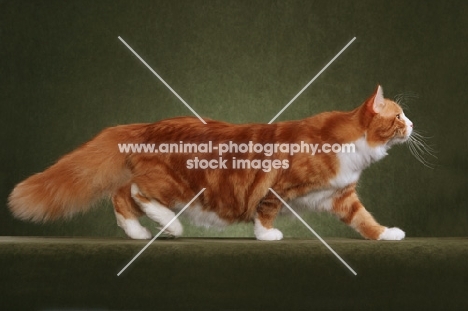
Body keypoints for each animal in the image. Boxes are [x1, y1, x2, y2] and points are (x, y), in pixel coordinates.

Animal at [8, 86, 414, 243]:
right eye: (398, 115)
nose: (412, 124)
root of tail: (146, 124)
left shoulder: (341, 196)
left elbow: (365, 220)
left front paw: (386, 235)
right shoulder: (278, 188)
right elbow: (265, 211)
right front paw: (266, 235)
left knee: (122, 194)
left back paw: (138, 233)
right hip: (176, 184)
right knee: (136, 191)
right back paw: (169, 226)